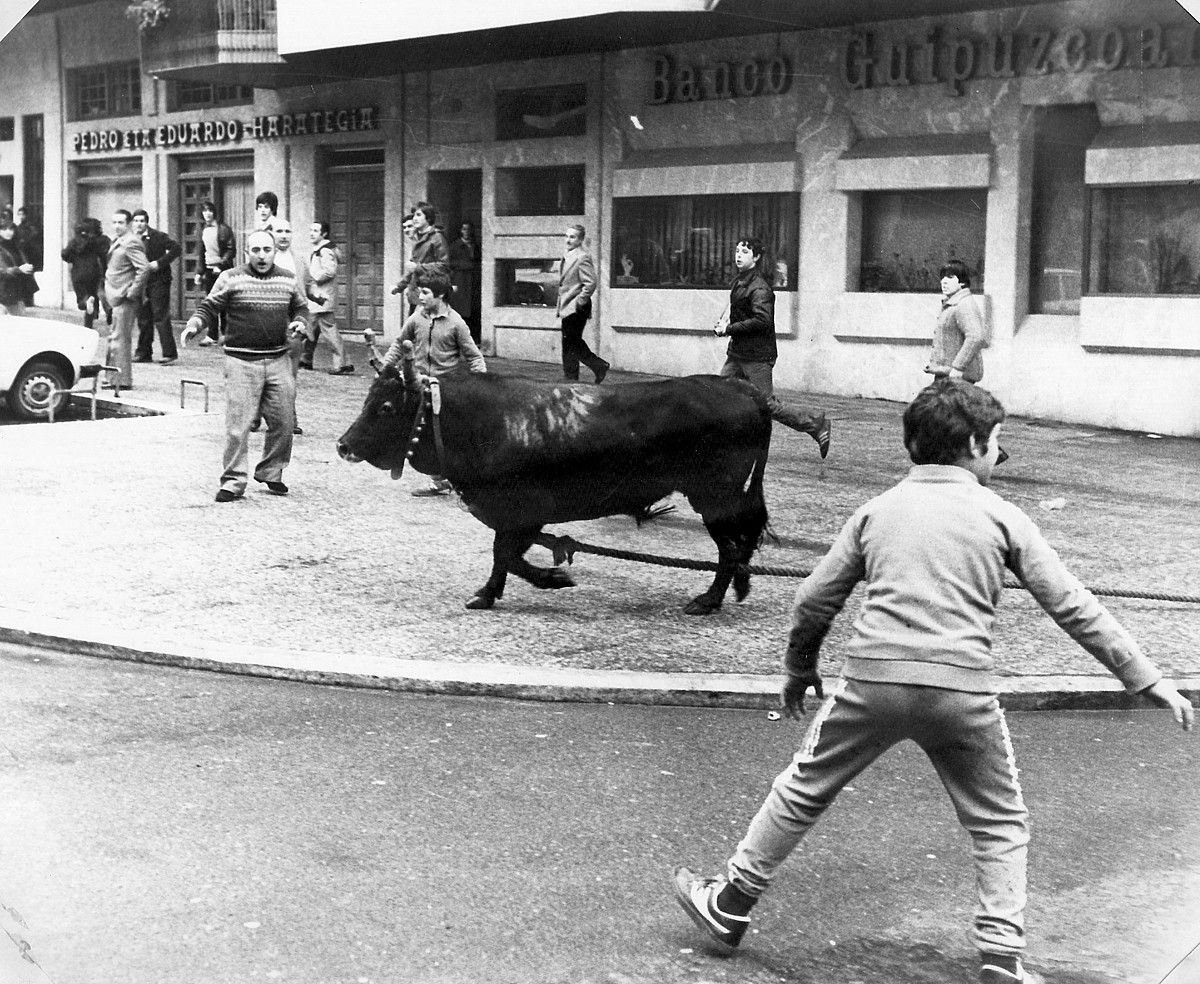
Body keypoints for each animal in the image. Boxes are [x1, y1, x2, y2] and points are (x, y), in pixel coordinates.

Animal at [336, 360, 768, 614]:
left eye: (386, 407)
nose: (343, 445)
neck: (482, 421)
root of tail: (740, 388)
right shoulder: (512, 517)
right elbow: (502, 555)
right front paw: (488, 594)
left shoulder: (525, 512)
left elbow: (506, 555)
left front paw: (553, 579)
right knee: (743, 540)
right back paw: (737, 588)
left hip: (715, 497)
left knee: (731, 548)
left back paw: (709, 600)